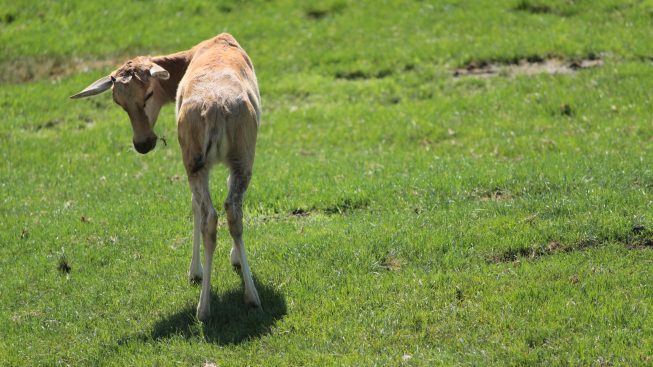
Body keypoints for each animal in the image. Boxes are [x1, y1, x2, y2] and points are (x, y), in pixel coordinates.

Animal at [70, 33, 262, 322]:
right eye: (119, 103)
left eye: (148, 93)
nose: (143, 143)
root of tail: (215, 108)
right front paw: (216, 265)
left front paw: (206, 269)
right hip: (226, 161)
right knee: (223, 211)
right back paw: (230, 300)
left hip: (211, 162)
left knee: (218, 212)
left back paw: (222, 303)